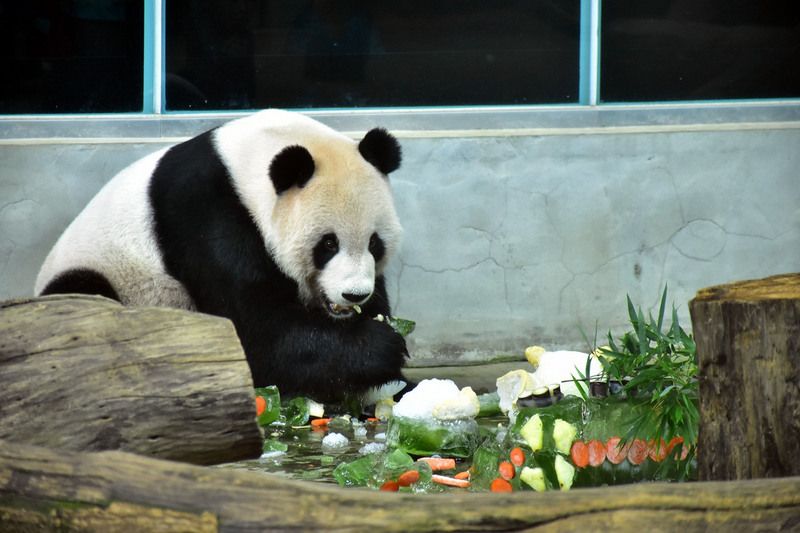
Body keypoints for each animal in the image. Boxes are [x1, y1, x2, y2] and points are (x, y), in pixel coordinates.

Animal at [36, 109, 412, 400]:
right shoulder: (207, 214)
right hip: (100, 272)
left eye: (375, 243)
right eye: (328, 244)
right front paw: (383, 346)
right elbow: (257, 334)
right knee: (84, 305)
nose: (354, 294)